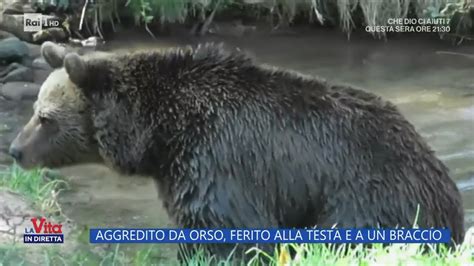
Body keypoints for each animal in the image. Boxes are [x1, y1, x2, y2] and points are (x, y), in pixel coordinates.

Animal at [9, 41, 464, 262]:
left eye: (44, 117)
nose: (14, 150)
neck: (159, 135)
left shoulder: (218, 159)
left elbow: (226, 231)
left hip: (369, 193)